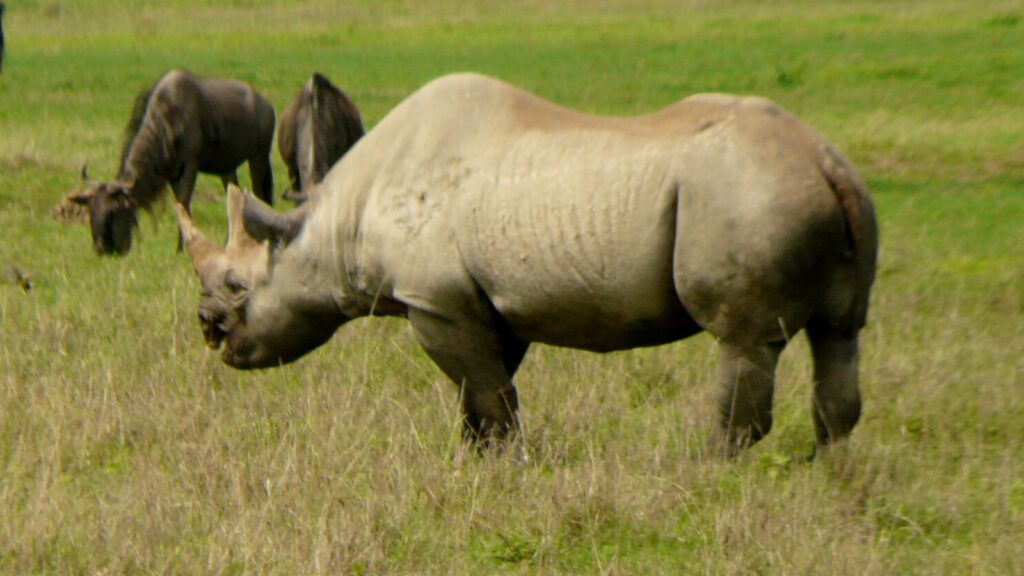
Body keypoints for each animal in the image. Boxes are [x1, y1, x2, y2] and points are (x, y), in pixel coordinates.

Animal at [176, 73, 877, 454]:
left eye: (237, 287)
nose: (208, 330)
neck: (331, 224)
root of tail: (826, 160)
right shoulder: (478, 303)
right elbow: (481, 398)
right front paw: (474, 466)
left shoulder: (435, 300)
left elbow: (490, 399)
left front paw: (505, 472)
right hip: (817, 197)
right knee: (838, 337)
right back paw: (832, 481)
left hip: (748, 195)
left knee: (744, 341)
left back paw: (707, 476)